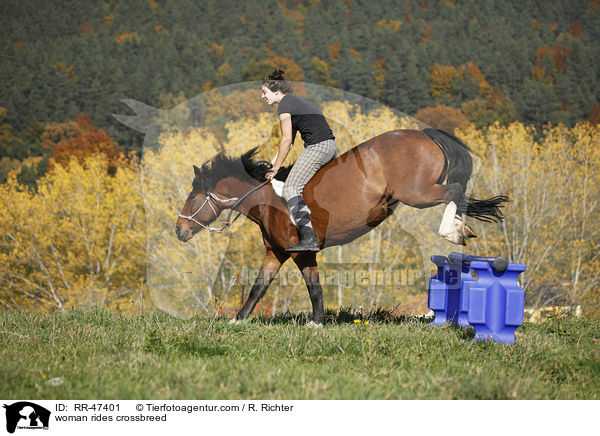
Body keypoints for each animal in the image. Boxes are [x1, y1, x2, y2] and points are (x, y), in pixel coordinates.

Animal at [176, 127, 508, 326]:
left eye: (192, 196)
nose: (179, 230)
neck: (266, 199)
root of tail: (424, 134)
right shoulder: (276, 253)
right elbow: (260, 286)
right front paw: (239, 319)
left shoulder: (301, 252)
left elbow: (313, 287)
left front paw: (316, 322)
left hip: (416, 193)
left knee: (455, 190)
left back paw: (452, 231)